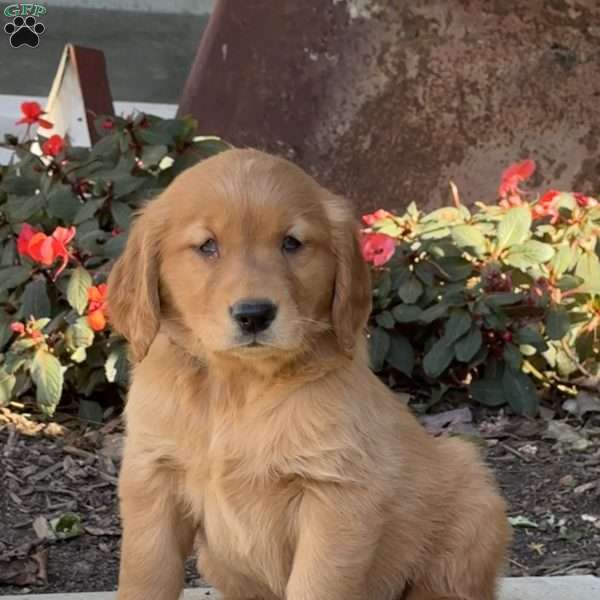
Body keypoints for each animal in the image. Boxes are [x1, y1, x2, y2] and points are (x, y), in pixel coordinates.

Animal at [108, 146, 510, 600]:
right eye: (207, 246)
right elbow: (146, 576)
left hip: (473, 504)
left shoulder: (335, 496)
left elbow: (318, 584)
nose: (254, 314)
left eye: (292, 243)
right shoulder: (152, 480)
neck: (237, 387)